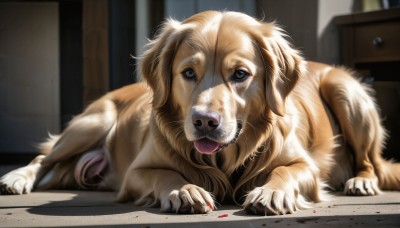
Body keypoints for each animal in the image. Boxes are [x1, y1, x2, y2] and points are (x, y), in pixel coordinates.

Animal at [0, 10, 400, 215]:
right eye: (188, 73)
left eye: (240, 74)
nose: (204, 121)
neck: (226, 158)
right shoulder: (135, 173)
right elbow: (165, 174)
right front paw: (186, 191)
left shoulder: (307, 167)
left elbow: (285, 171)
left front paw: (270, 193)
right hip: (93, 122)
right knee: (43, 157)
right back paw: (16, 178)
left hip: (347, 92)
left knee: (371, 162)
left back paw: (361, 181)